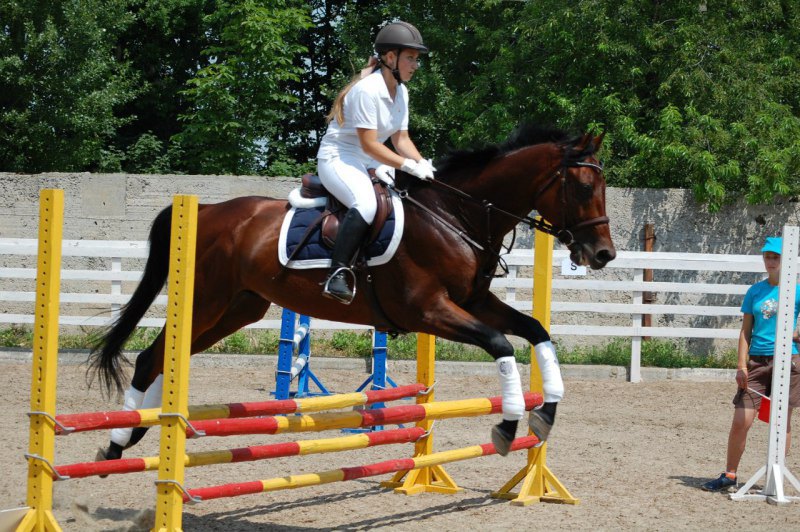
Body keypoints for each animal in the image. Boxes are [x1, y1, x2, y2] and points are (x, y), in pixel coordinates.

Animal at [87, 124, 616, 462]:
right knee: (150, 356)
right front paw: (507, 425)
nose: (603, 254)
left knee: (164, 358)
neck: (456, 217)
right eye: (582, 186)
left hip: (236, 309)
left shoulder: (473, 302)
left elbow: (536, 330)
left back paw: (137, 431)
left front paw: (546, 411)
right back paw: (117, 442)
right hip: (207, 302)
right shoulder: (428, 310)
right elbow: (502, 343)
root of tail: (207, 210)